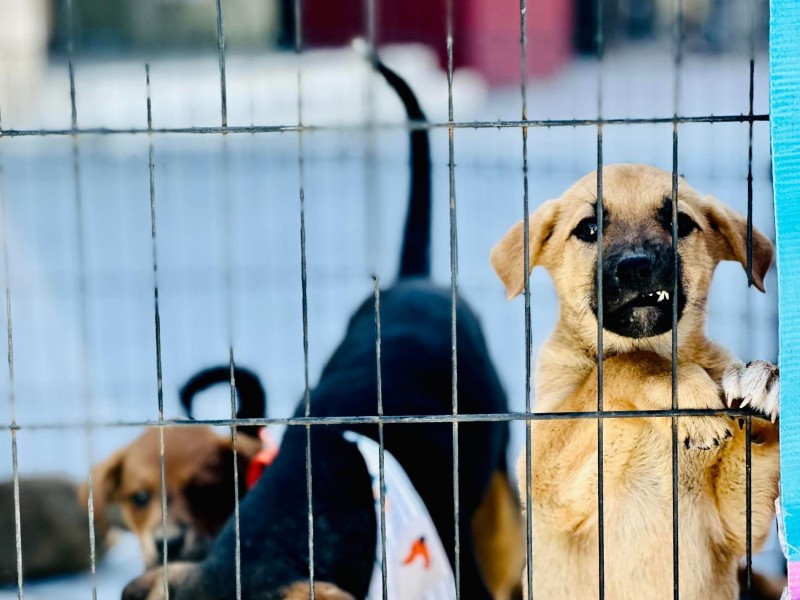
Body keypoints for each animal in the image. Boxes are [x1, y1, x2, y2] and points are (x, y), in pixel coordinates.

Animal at [490, 164, 780, 600]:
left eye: (680, 222)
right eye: (589, 228)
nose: (636, 267)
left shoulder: (735, 526)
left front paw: (764, 384)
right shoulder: (542, 478)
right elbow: (624, 364)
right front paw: (685, 390)